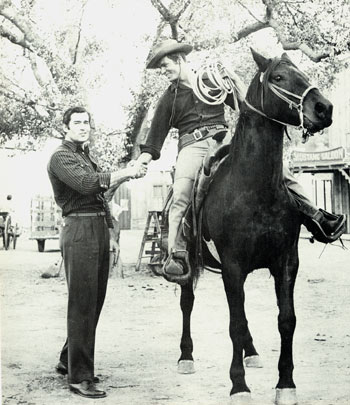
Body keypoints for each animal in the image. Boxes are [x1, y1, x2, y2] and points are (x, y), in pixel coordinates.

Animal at [175, 50, 334, 404]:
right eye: (278, 77)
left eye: (302, 72)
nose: (324, 108)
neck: (254, 188)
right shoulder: (233, 266)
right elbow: (234, 323)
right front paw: (239, 386)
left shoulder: (286, 263)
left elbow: (286, 320)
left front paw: (285, 383)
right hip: (189, 263)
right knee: (187, 302)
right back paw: (186, 356)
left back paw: (252, 352)